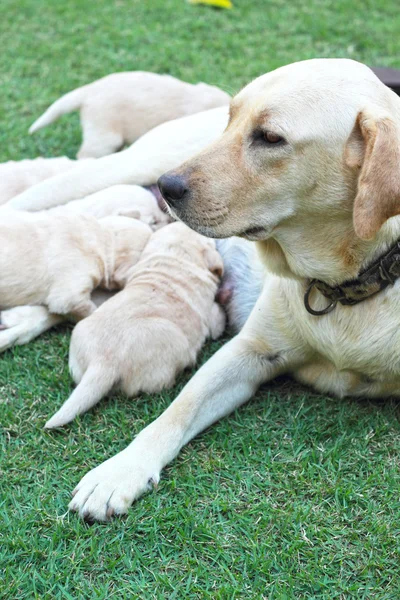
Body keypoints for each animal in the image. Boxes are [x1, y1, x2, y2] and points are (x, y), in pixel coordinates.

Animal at [45, 223, 227, 428]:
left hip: (78, 345)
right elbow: (218, 318)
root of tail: (102, 363)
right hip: (172, 347)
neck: (173, 260)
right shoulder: (210, 314)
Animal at [68, 58, 400, 524]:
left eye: (271, 138)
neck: (342, 286)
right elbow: (178, 408)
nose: (167, 187)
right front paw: (119, 471)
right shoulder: (249, 350)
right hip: (111, 173)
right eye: (232, 116)